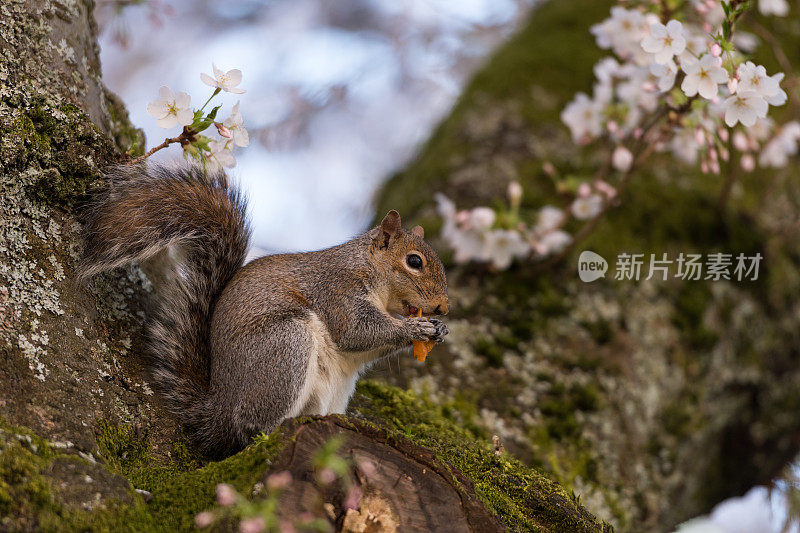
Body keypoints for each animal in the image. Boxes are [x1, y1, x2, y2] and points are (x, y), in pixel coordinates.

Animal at [80, 164, 450, 456]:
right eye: (414, 262)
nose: (444, 307)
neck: (370, 271)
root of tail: (218, 409)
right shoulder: (338, 291)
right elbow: (357, 332)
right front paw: (414, 328)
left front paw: (439, 330)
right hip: (284, 348)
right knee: (249, 429)